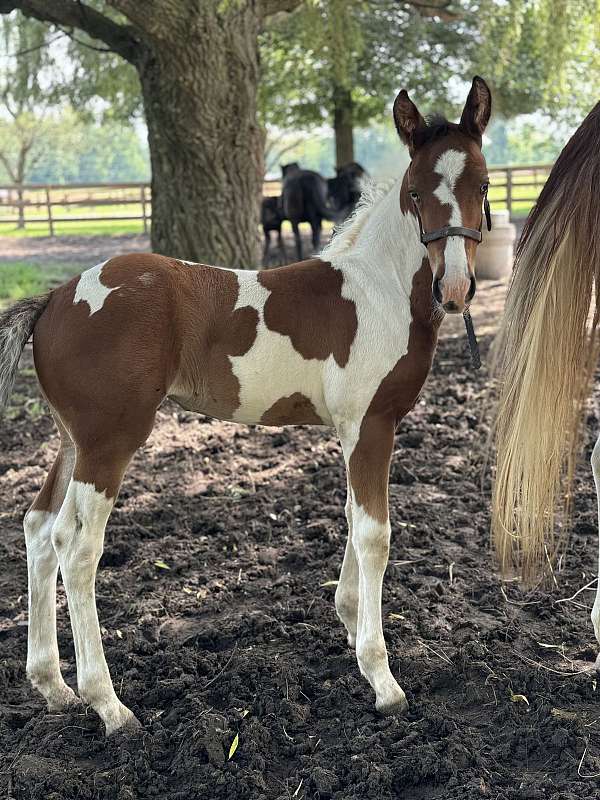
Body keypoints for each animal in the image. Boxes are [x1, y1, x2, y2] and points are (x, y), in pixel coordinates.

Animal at [0, 78, 492, 736]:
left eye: (482, 186)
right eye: (416, 192)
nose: (456, 288)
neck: (378, 289)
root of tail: (55, 297)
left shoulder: (352, 432)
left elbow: (349, 516)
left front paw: (347, 619)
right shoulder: (372, 426)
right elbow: (374, 535)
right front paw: (382, 679)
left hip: (71, 441)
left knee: (37, 529)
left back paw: (53, 686)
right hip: (109, 443)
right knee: (76, 550)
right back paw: (109, 704)